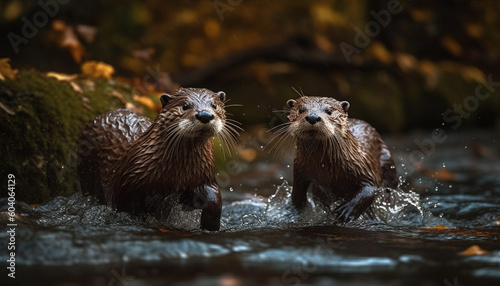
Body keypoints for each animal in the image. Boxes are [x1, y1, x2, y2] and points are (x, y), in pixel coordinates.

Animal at [76, 87, 238, 230]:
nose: (205, 115)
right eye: (185, 106)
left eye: (214, 105)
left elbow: (214, 198)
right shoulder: (127, 183)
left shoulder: (203, 174)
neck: (176, 174)